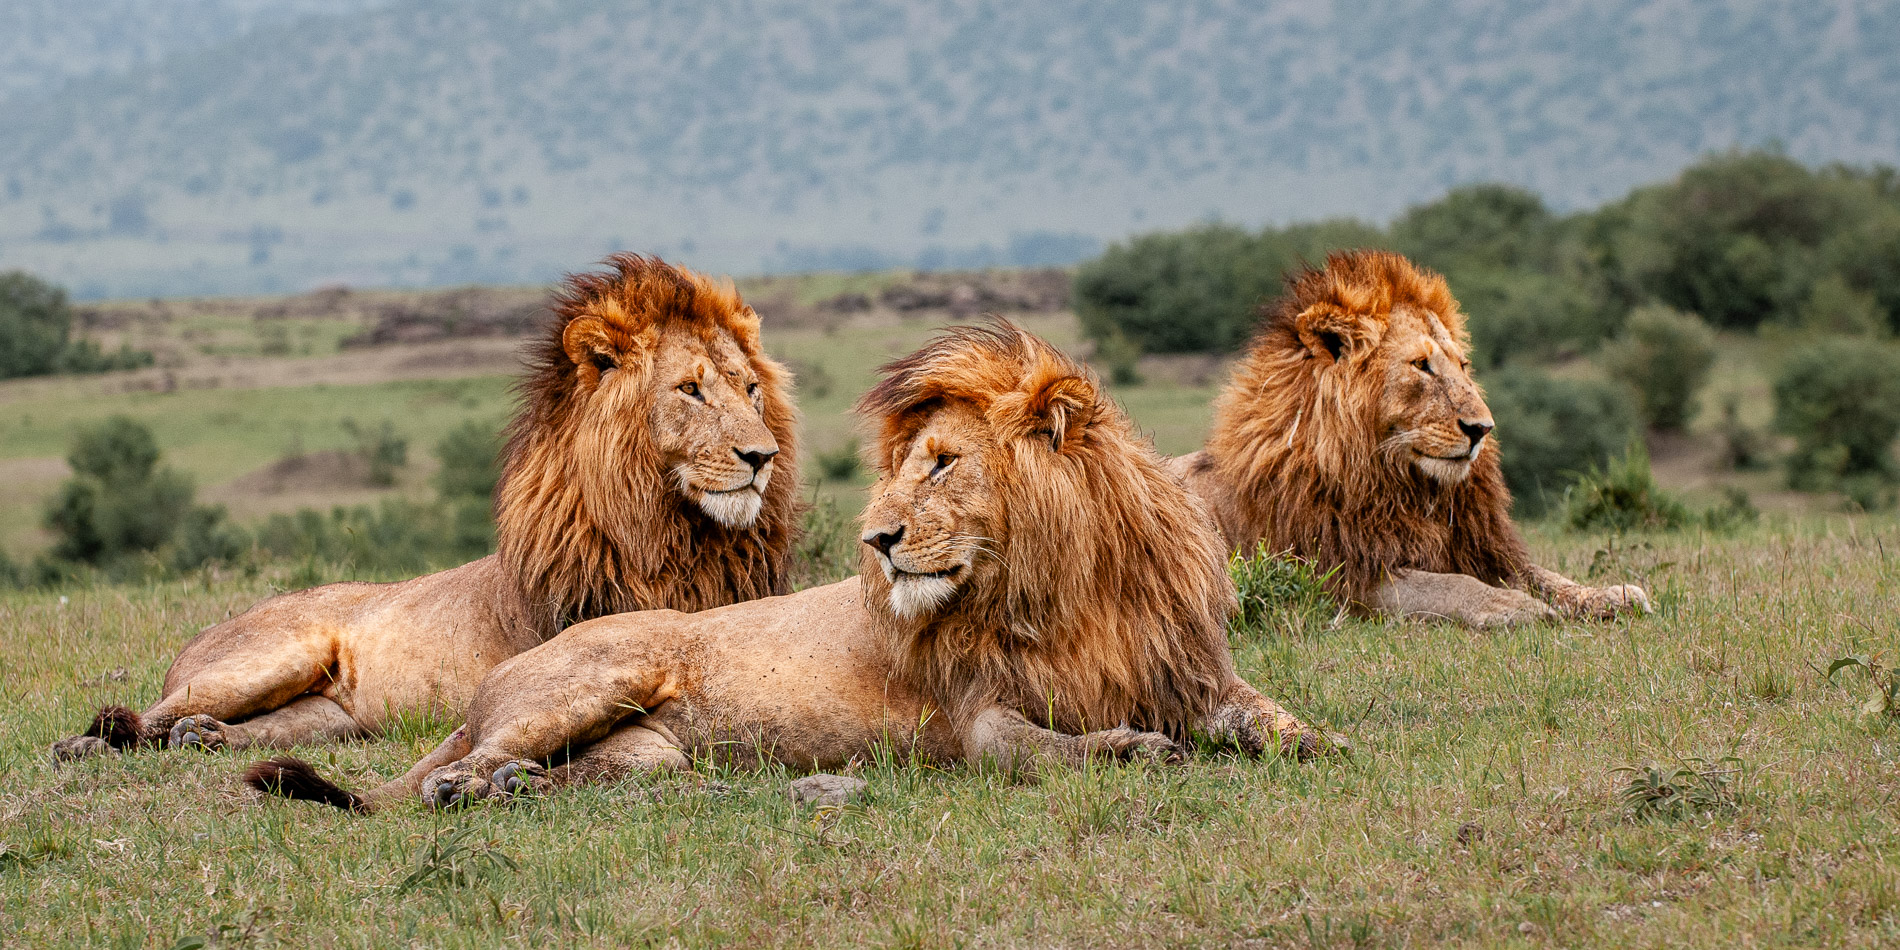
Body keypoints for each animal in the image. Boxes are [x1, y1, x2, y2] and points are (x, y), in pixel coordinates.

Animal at [44, 256, 801, 760]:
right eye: (690, 390)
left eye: (750, 388)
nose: (761, 456)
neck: (676, 538)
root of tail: (205, 632)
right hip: (264, 657)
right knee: (139, 716)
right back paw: (89, 747)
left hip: (331, 719)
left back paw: (203, 738)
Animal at [245, 323, 1330, 813]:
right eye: (907, 464)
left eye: (943, 463)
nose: (877, 539)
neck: (1062, 587)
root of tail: (493, 680)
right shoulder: (969, 711)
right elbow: (1033, 748)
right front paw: (1132, 749)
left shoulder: (1190, 670)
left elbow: (1264, 715)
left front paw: (1315, 742)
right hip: (595, 676)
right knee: (447, 777)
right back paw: (482, 785)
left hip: (646, 752)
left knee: (592, 779)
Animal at [1162, 248, 1641, 627]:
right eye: (1421, 366)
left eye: (1463, 366)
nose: (1482, 429)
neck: (1403, 487)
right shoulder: (1344, 576)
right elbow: (1451, 585)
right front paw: (1513, 605)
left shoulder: (1478, 546)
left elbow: (1540, 574)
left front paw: (1610, 595)